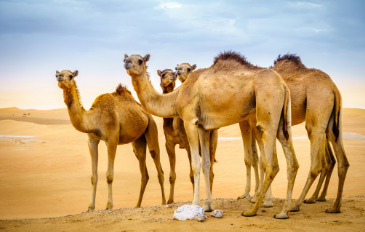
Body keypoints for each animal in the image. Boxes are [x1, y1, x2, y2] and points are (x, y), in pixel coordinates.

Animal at [55, 70, 166, 211]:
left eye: (70, 75)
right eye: (58, 73)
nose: (59, 77)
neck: (95, 118)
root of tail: (146, 112)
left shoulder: (112, 139)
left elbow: (109, 176)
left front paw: (109, 205)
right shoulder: (92, 140)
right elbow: (93, 176)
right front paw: (90, 206)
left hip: (151, 126)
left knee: (157, 161)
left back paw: (164, 202)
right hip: (138, 140)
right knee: (143, 169)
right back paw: (137, 205)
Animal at [159, 68, 218, 203]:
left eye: (173, 72)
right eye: (163, 74)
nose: (174, 75)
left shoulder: (187, 144)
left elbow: (191, 174)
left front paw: (193, 199)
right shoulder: (169, 143)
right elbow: (172, 175)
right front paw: (170, 200)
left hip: (213, 139)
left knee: (211, 170)